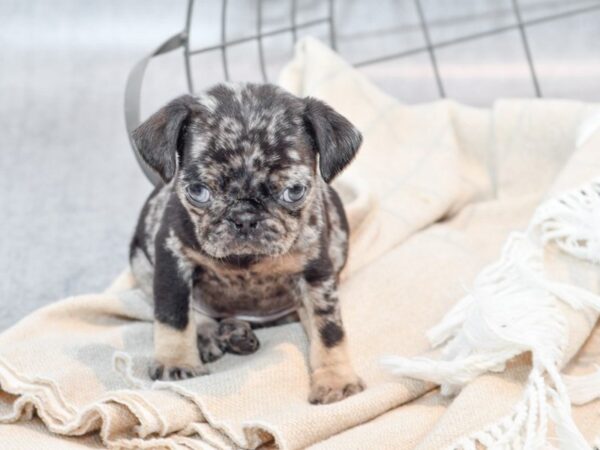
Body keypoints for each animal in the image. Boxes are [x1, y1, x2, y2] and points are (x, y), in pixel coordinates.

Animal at [130, 81, 366, 404]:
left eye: (294, 191)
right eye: (198, 191)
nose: (243, 217)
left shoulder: (316, 275)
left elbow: (328, 329)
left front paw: (335, 380)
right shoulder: (172, 260)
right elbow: (174, 315)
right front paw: (176, 362)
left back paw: (235, 332)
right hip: (141, 265)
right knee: (196, 312)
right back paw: (215, 334)